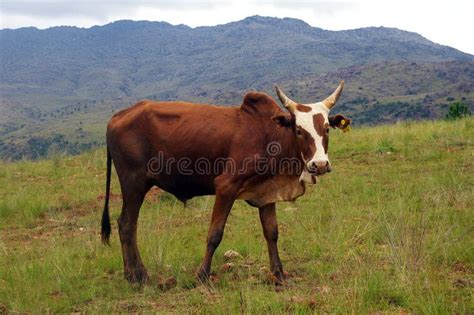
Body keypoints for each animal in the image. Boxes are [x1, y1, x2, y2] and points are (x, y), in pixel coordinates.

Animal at [101, 80, 352, 286]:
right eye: (299, 130)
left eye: (326, 129)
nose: (319, 164)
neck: (270, 134)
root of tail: (118, 116)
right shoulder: (226, 187)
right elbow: (215, 234)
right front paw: (202, 275)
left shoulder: (267, 191)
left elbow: (271, 232)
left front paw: (279, 274)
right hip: (134, 184)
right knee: (127, 225)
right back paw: (138, 276)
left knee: (126, 225)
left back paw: (132, 274)